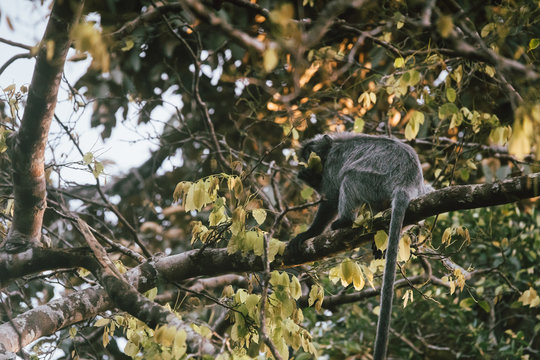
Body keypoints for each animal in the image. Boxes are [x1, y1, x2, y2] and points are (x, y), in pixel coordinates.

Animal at [288, 133, 432, 360]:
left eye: (311, 152)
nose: (308, 161)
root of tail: (407, 184)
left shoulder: (333, 161)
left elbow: (330, 197)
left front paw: (307, 234)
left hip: (374, 182)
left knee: (350, 177)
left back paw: (344, 222)